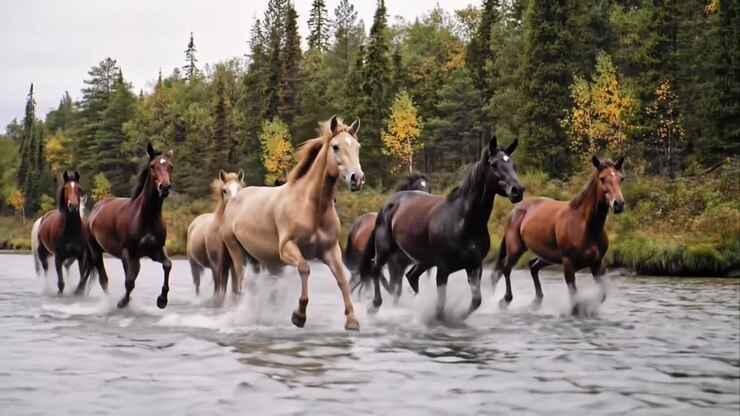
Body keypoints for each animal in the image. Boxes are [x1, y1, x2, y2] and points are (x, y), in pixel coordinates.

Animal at [87, 143, 174, 309]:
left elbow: (167, 265)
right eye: (153, 166)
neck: (145, 217)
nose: (164, 187)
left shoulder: (155, 251)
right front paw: (122, 302)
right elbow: (129, 282)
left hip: (136, 259)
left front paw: (162, 300)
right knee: (104, 280)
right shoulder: (126, 252)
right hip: (96, 252)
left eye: (170, 166)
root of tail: (95, 209)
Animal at [219, 115, 364, 331]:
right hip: (237, 253)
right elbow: (304, 268)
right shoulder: (287, 248)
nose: (357, 179)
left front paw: (352, 319)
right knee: (245, 283)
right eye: (336, 147)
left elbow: (342, 279)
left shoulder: (330, 250)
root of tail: (235, 199)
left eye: (357, 146)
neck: (312, 207)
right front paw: (299, 315)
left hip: (266, 261)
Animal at [357, 136, 524, 322]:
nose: (517, 191)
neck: (463, 222)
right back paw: (374, 306)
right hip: (385, 249)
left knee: (411, 277)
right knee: (376, 269)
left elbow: (476, 301)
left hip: (424, 260)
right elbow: (440, 306)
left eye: (513, 164)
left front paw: (459, 317)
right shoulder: (443, 269)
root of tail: (389, 203)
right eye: (494, 164)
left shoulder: (474, 267)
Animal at [491, 156, 625, 311]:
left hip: (546, 256)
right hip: (516, 249)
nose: (618, 204)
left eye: (621, 178)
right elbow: (574, 299)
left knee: (532, 266)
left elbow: (600, 295)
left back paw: (536, 301)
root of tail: (514, 211)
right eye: (603, 179)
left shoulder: (597, 263)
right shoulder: (568, 264)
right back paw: (505, 300)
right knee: (505, 268)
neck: (586, 227)